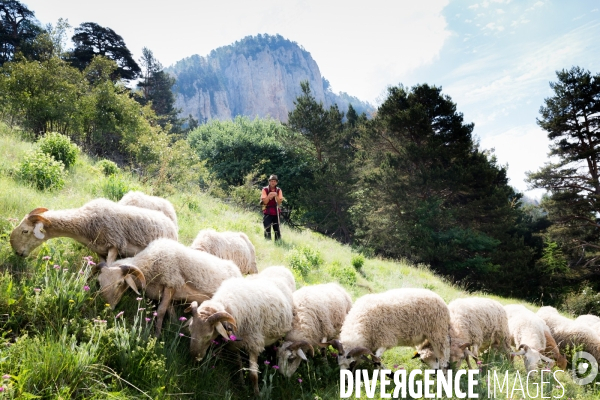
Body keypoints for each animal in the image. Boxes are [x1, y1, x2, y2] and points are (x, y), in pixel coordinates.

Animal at [96, 238, 241, 338]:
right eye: (99, 282)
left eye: (119, 283)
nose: (108, 307)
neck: (151, 262)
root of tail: (237, 270)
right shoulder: (168, 291)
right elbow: (170, 312)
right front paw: (175, 326)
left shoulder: (170, 283)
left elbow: (160, 311)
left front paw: (156, 336)